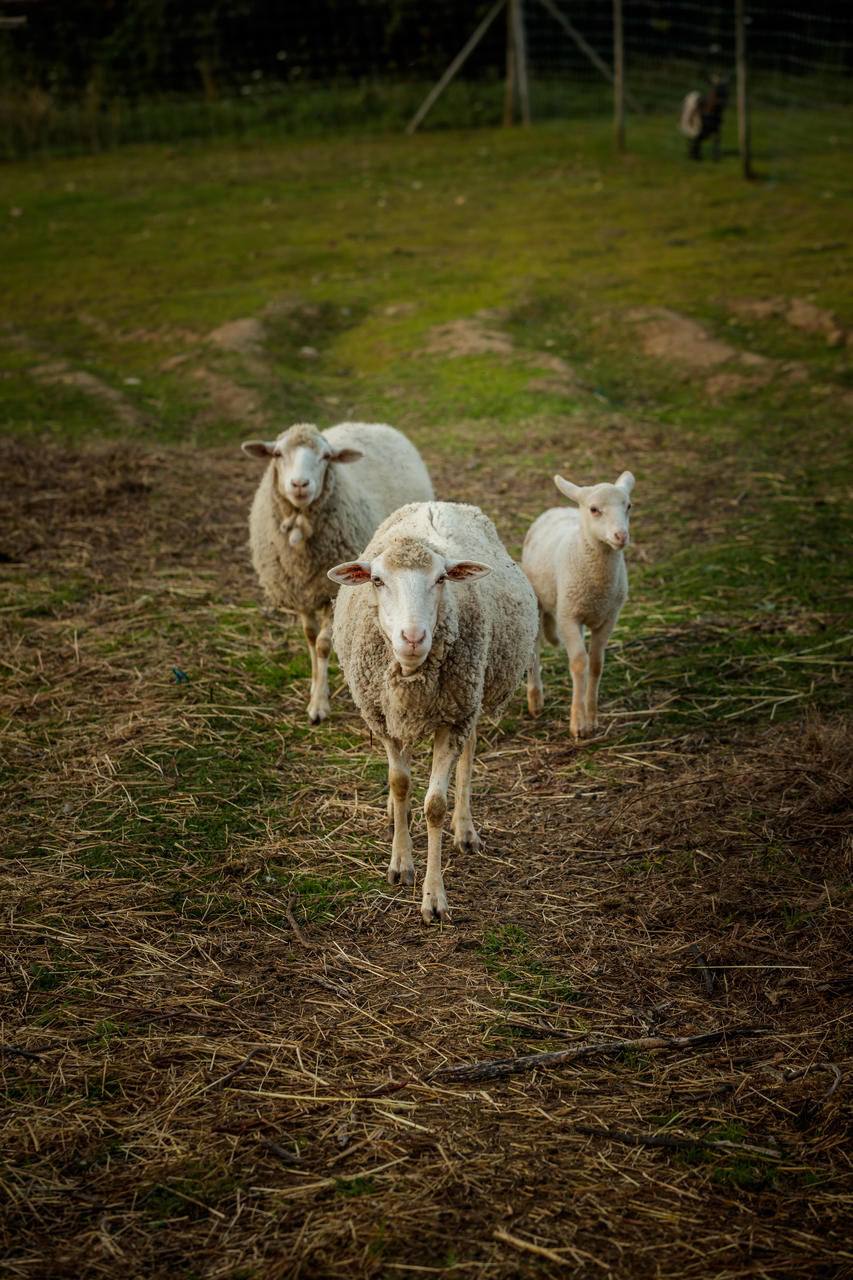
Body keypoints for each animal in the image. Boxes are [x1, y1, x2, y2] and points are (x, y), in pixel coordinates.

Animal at [241, 422, 434, 723]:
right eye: (277, 454)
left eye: (325, 457)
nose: (299, 485)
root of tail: (373, 424)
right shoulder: (300, 592)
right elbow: (310, 637)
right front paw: (315, 685)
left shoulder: (334, 591)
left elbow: (322, 644)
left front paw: (318, 706)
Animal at [328, 501, 538, 924]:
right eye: (377, 580)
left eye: (441, 579)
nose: (412, 638)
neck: (412, 676)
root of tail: (437, 504)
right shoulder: (385, 719)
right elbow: (400, 783)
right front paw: (400, 863)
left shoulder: (454, 719)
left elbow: (435, 806)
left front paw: (434, 897)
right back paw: (396, 814)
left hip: (472, 695)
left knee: (468, 755)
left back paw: (465, 829)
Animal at [522, 471, 635, 739]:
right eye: (594, 509)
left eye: (628, 506)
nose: (621, 536)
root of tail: (557, 508)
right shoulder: (567, 617)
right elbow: (578, 663)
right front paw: (578, 723)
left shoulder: (609, 618)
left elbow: (594, 664)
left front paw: (591, 717)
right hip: (539, 601)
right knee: (535, 646)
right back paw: (535, 700)